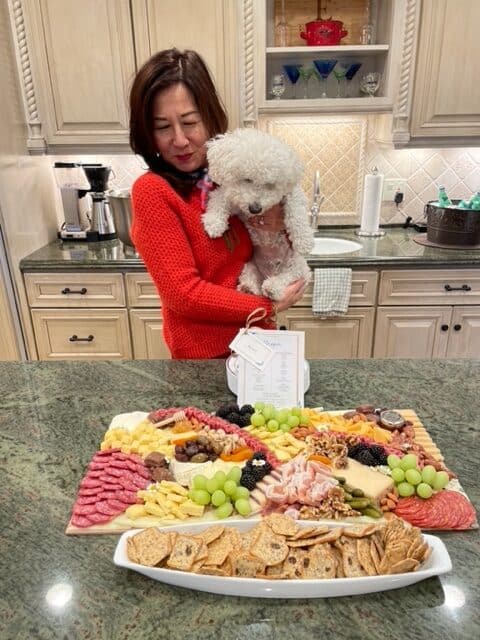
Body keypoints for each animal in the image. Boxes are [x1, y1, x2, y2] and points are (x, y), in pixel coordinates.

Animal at [201, 130, 314, 302]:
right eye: (247, 179)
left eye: (270, 184)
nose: (255, 209)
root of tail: (270, 271)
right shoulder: (236, 201)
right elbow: (219, 199)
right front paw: (214, 223)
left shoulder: (293, 194)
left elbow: (296, 212)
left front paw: (304, 240)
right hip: (249, 266)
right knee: (252, 281)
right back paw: (249, 289)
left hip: (298, 266)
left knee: (287, 277)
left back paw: (273, 288)